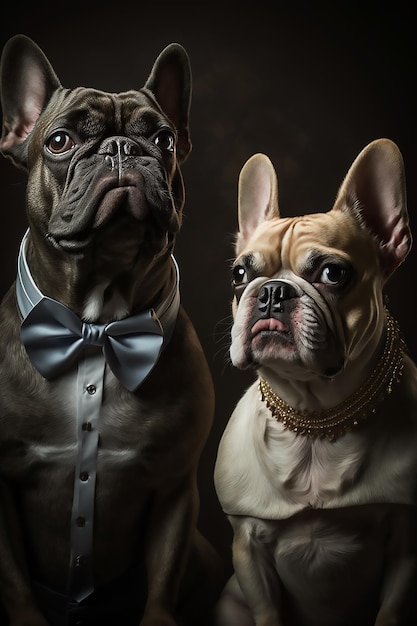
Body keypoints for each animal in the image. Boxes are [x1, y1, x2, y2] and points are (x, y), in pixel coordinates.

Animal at [0, 35, 223, 624]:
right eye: (60, 140)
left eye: (163, 139)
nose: (122, 149)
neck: (95, 327)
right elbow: (15, 584)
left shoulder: (174, 487)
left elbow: (162, 584)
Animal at [213, 140, 416, 624]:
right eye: (239, 274)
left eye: (333, 274)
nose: (272, 291)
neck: (314, 416)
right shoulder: (247, 547)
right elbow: (267, 611)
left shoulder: (406, 548)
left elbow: (391, 611)